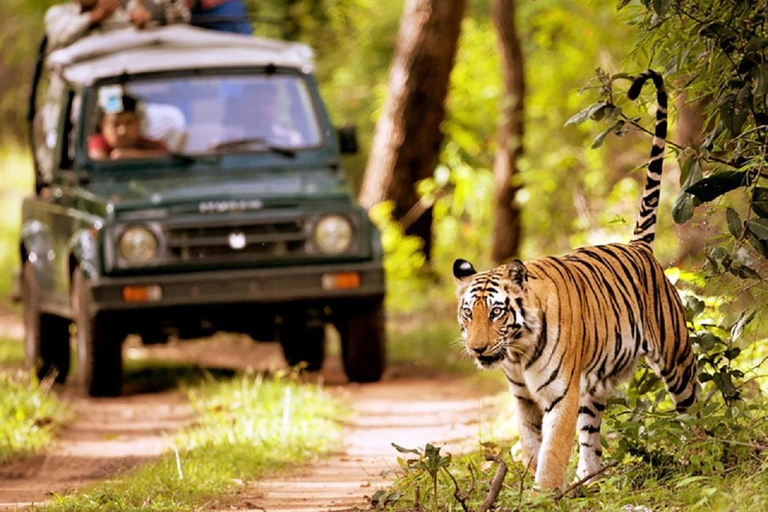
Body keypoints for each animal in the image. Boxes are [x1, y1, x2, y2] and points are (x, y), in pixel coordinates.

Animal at [452, 70, 700, 490]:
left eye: (497, 312)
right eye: (469, 314)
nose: (478, 349)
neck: (516, 351)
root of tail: (638, 247)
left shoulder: (560, 394)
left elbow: (552, 452)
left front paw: (543, 494)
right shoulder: (523, 398)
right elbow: (532, 444)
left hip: (675, 357)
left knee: (693, 406)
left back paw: (705, 449)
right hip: (594, 383)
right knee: (591, 432)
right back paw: (589, 478)